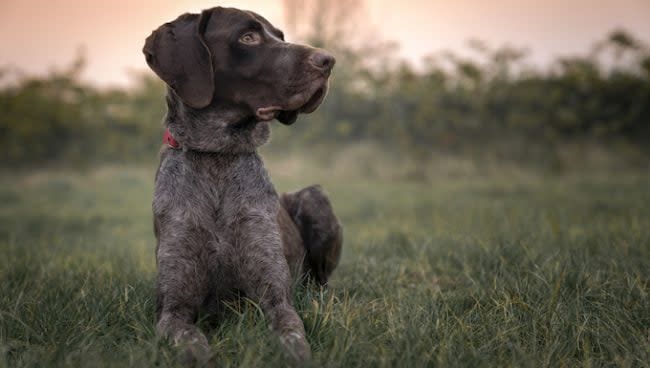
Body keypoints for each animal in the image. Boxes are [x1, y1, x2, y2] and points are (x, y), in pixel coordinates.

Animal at [144, 5, 342, 362]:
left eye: (280, 36)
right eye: (248, 37)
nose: (328, 60)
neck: (217, 157)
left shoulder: (276, 300)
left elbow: (294, 340)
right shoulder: (173, 310)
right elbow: (195, 346)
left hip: (314, 197)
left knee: (320, 283)